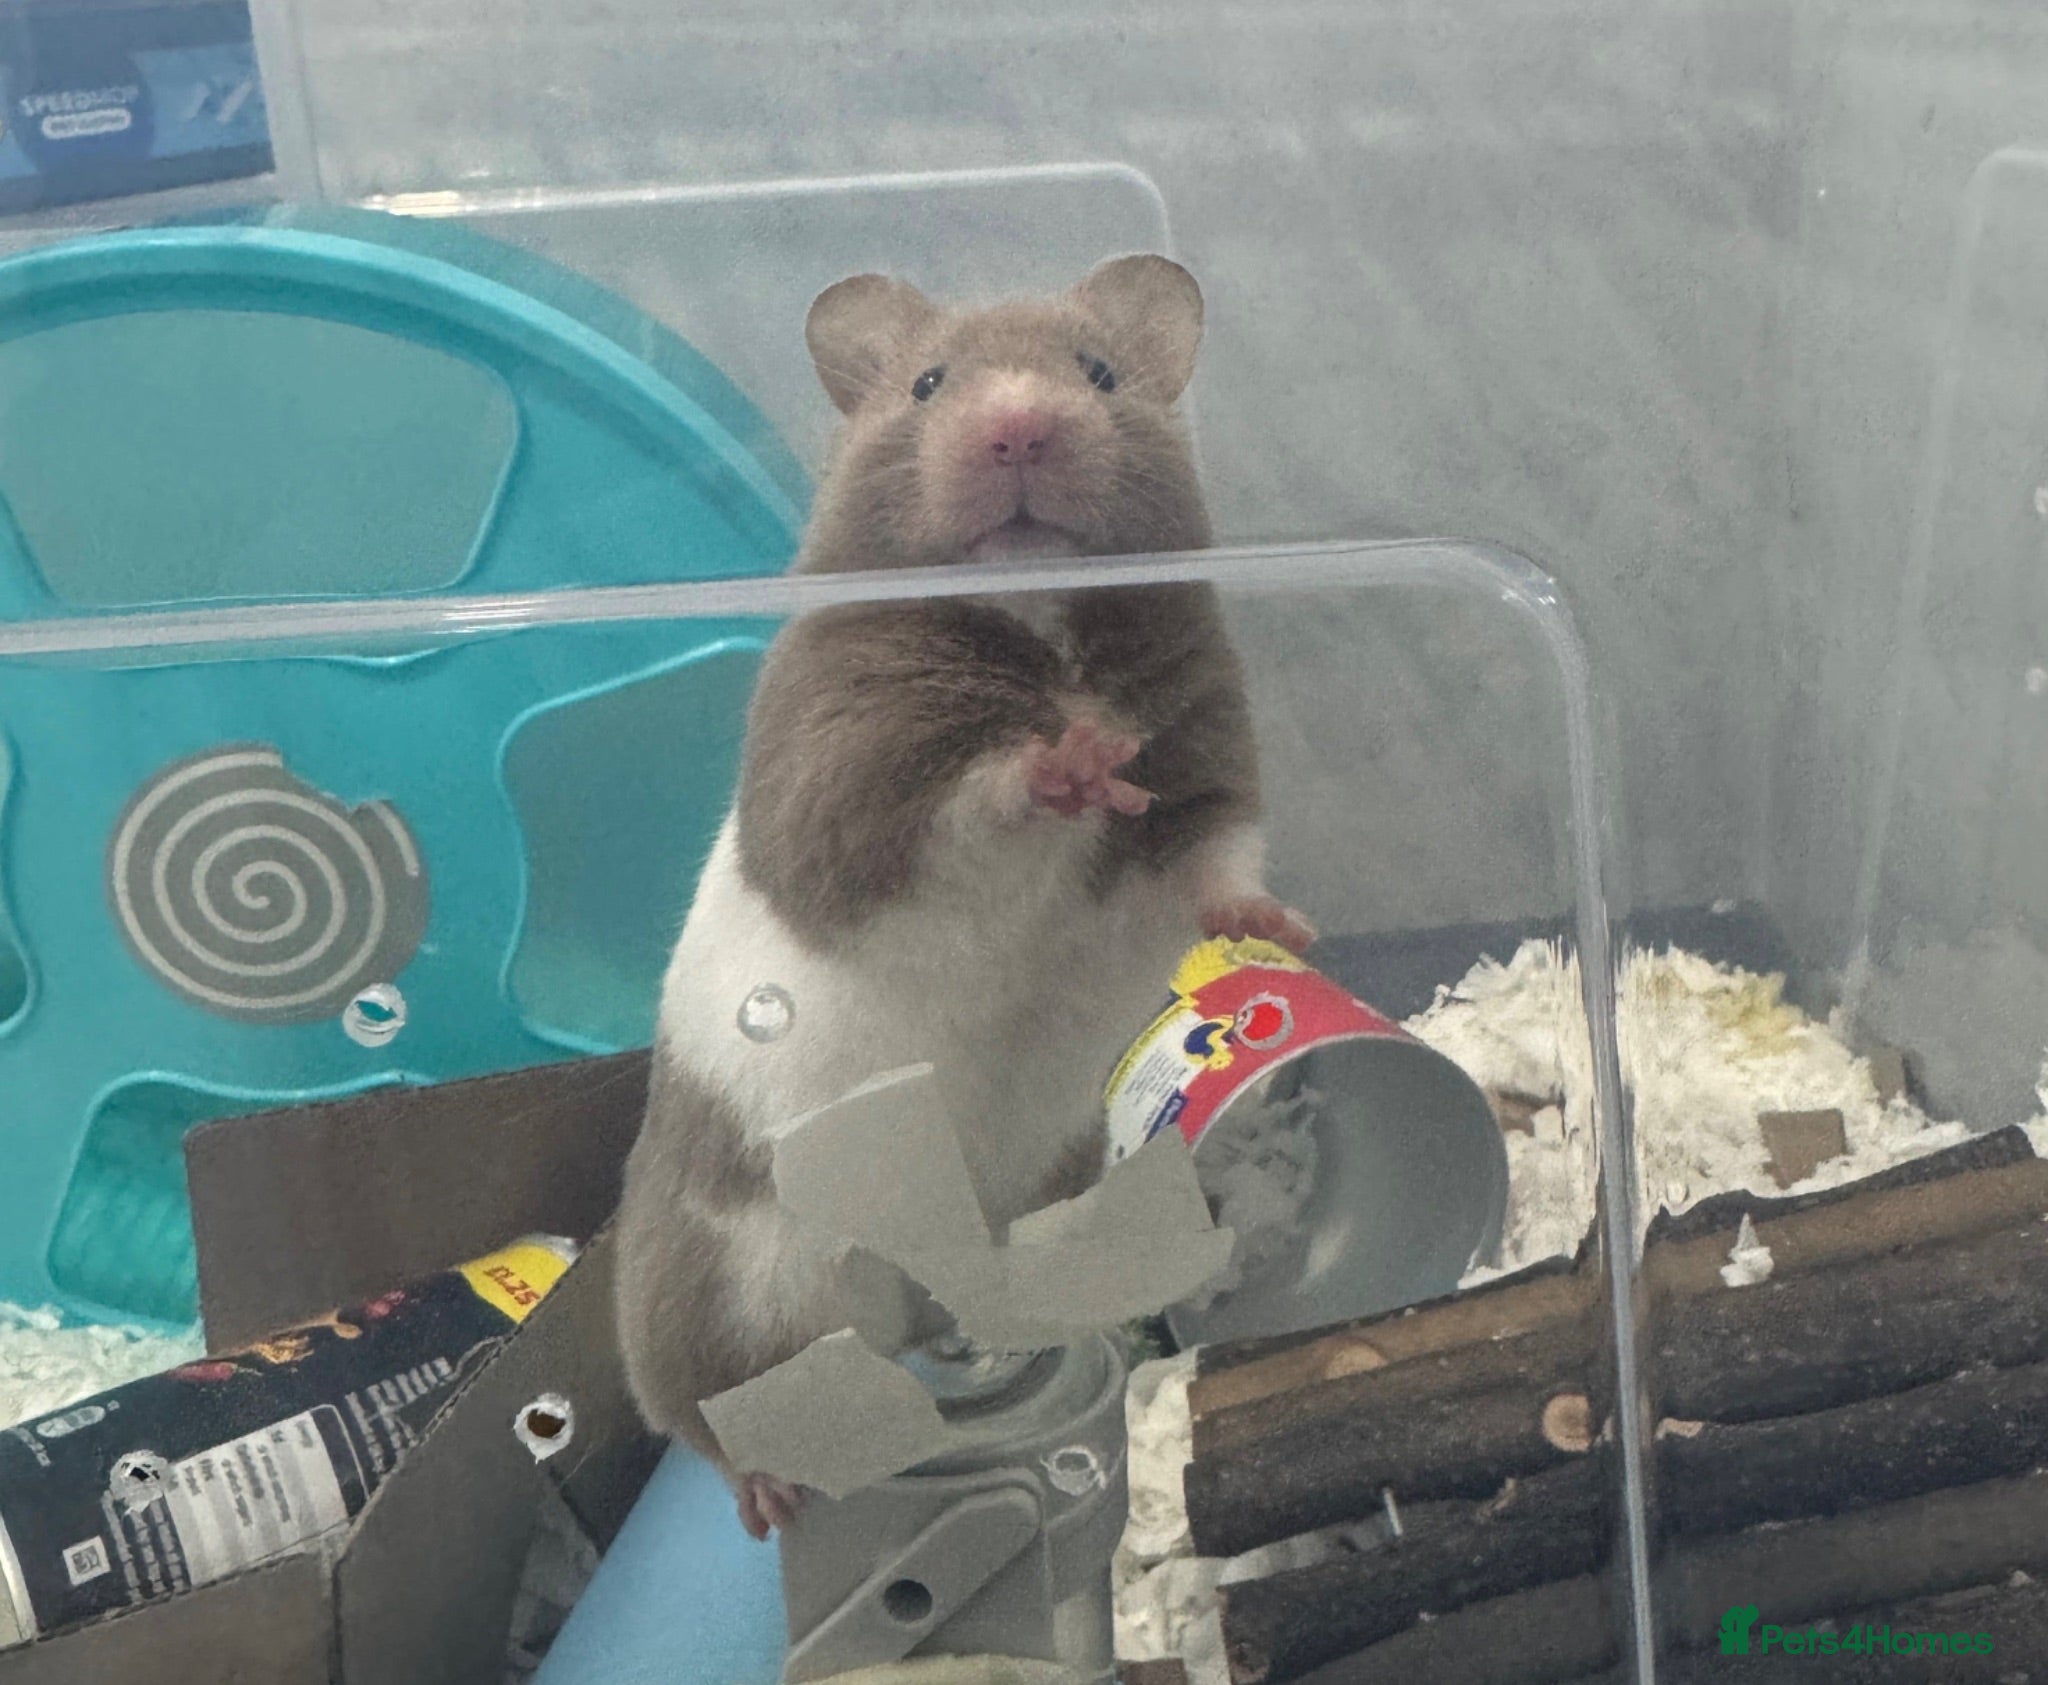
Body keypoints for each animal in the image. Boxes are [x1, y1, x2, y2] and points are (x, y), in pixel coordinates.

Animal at [613, 255, 1314, 1540]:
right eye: (929, 383)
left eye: (1098, 372)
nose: (1018, 425)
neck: (1038, 619)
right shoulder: (843, 790)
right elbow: (975, 798)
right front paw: (1067, 763)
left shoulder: (1205, 766)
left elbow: (1219, 863)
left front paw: (1275, 930)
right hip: (724, 1288)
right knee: (706, 1419)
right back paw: (772, 1491)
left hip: (1053, 1181)